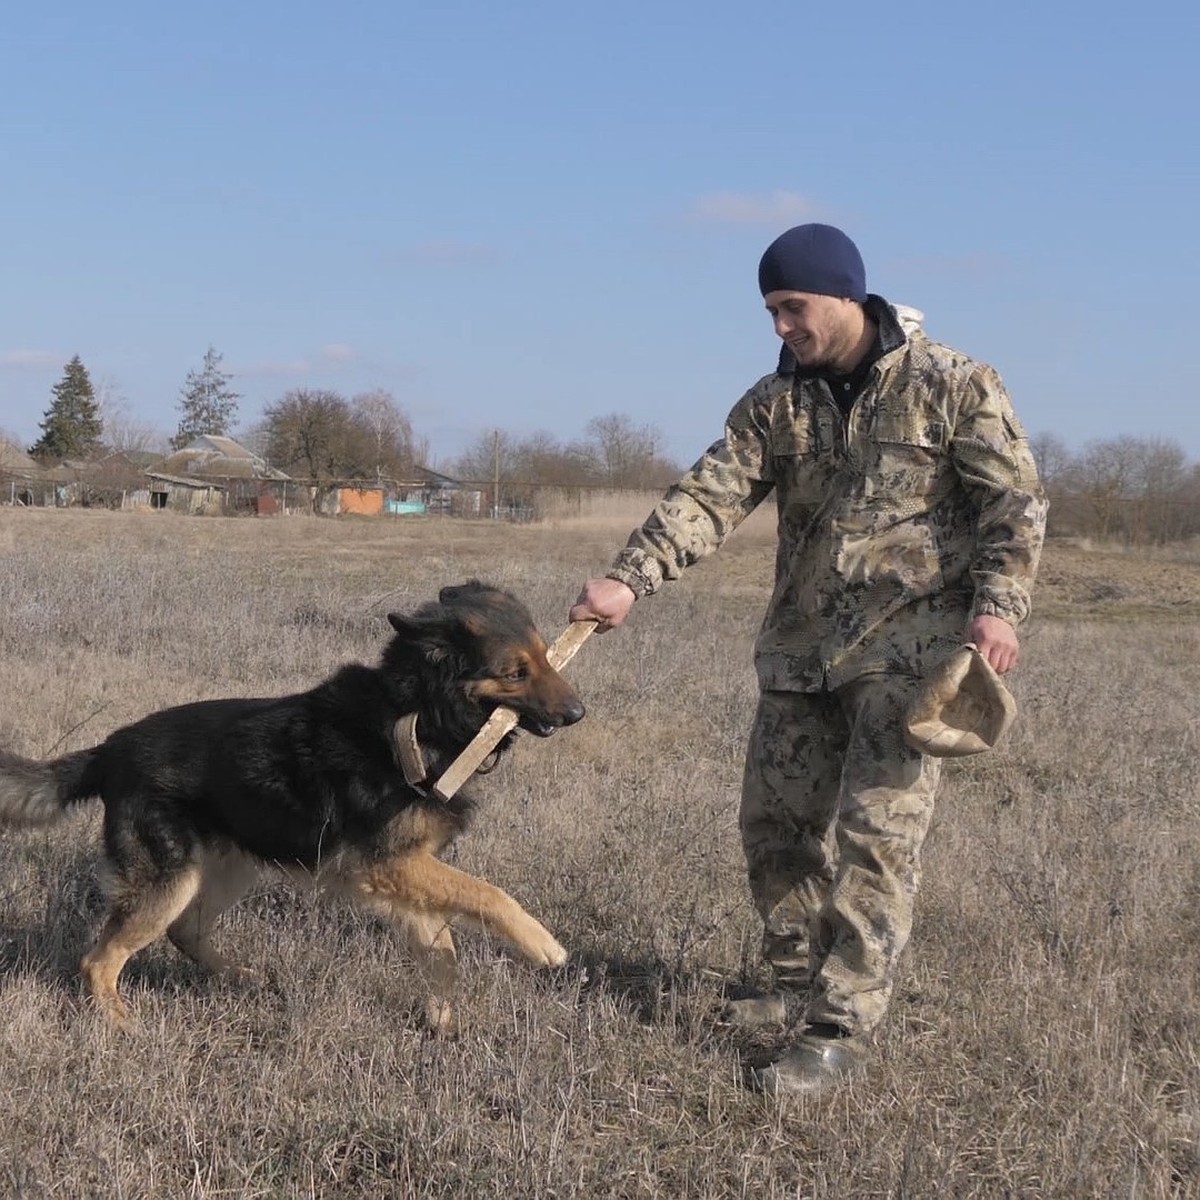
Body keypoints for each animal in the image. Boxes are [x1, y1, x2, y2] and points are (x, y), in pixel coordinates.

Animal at [0, 580, 583, 1032]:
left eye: (545, 657)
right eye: (516, 672)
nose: (578, 713)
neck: (416, 711)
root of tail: (109, 750)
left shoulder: (400, 872)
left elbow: (440, 947)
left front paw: (441, 1021)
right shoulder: (390, 864)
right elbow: (487, 894)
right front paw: (542, 945)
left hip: (228, 867)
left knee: (183, 931)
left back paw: (237, 978)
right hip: (169, 880)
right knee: (98, 961)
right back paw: (122, 1023)